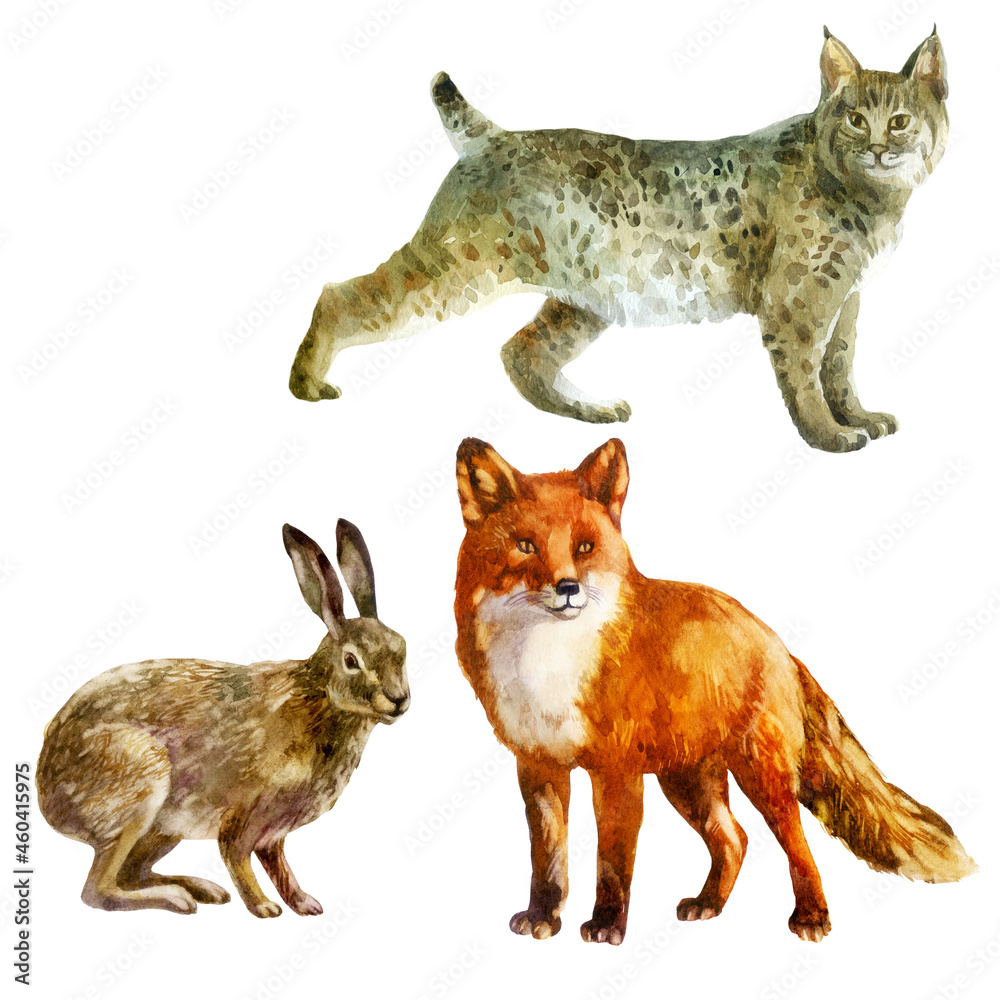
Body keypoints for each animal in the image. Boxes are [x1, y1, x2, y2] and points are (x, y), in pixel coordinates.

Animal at [36, 520, 409, 918]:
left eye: (403, 648)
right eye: (352, 661)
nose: (399, 700)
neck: (320, 699)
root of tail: (46, 793)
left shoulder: (274, 831)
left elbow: (279, 866)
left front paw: (305, 904)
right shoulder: (246, 814)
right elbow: (237, 856)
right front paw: (264, 907)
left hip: (163, 830)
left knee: (131, 873)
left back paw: (201, 889)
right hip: (138, 791)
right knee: (99, 890)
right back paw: (177, 899)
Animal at [453, 437, 975, 945]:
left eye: (584, 547)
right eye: (525, 546)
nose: (566, 588)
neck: (547, 660)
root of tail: (779, 645)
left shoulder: (617, 772)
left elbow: (613, 863)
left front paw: (607, 926)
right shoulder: (538, 766)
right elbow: (547, 859)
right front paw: (543, 917)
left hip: (762, 779)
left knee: (797, 845)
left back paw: (811, 917)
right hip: (687, 782)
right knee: (734, 839)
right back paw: (710, 904)